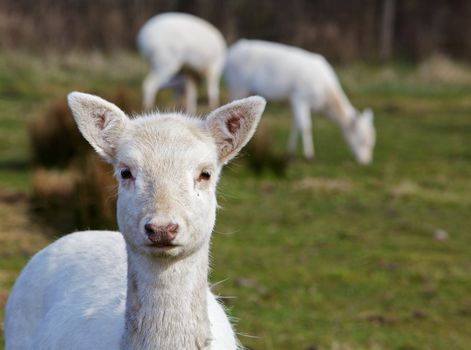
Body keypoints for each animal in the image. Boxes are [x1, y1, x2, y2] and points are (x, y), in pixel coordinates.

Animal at [224, 39, 376, 165]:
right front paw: (309, 156)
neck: (324, 95)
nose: (366, 161)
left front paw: (290, 153)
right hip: (238, 85)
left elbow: (296, 124)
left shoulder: (293, 100)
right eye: (363, 140)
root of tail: (231, 52)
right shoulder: (300, 97)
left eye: (372, 141)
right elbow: (305, 125)